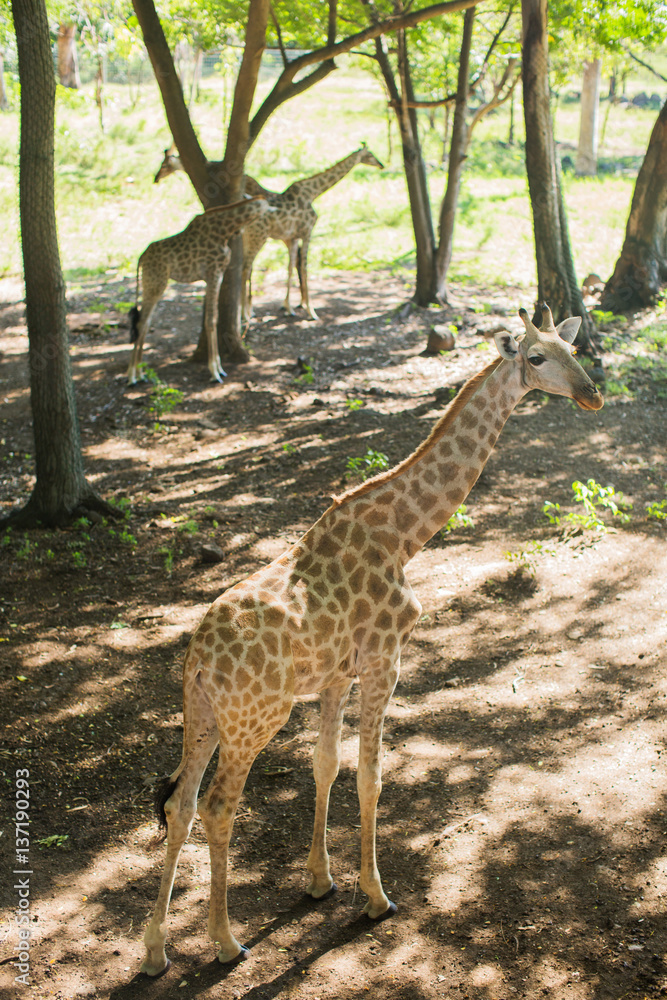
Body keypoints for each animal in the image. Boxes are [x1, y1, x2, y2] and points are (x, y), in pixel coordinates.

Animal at [127, 196, 272, 385]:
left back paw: (140, 372)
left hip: (153, 284)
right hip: (155, 283)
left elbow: (213, 317)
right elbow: (211, 320)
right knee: (141, 323)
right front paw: (215, 371)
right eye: (268, 208)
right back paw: (132, 375)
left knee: (145, 323)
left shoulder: (217, 275)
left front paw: (218, 368)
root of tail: (142, 257)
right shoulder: (213, 273)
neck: (224, 229)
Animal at [139, 304, 603, 976]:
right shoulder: (387, 659)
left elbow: (326, 764)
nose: (593, 393)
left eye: (574, 349)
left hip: (202, 714)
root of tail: (198, 658)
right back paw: (226, 942)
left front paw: (319, 881)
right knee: (218, 806)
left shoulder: (337, 674)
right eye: (537, 357)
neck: (403, 536)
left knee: (177, 803)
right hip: (254, 719)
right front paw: (377, 897)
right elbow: (371, 776)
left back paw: (155, 951)